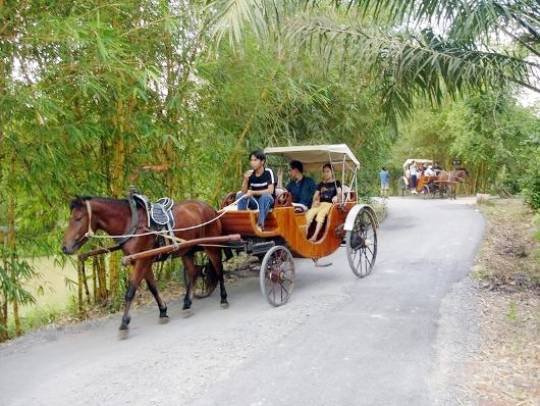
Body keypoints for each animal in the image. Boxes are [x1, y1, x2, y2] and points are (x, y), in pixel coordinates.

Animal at [62, 197, 227, 334]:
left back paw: (224, 299)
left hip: (211, 246)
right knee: (193, 272)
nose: (64, 247)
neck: (132, 224)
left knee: (218, 270)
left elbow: (130, 291)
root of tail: (209, 208)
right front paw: (163, 311)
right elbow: (153, 288)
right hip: (186, 250)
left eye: (78, 218)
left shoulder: (142, 262)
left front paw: (124, 323)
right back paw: (187, 304)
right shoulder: (142, 261)